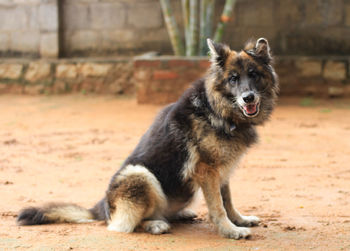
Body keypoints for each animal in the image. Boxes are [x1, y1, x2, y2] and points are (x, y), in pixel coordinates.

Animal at [17, 37, 278, 239]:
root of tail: (102, 207)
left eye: (253, 74)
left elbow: (228, 200)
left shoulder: (222, 170)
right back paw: (154, 224)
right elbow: (218, 207)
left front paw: (239, 220)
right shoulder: (208, 170)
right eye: (233, 78)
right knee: (122, 225)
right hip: (140, 175)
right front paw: (229, 230)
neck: (216, 109)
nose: (248, 98)